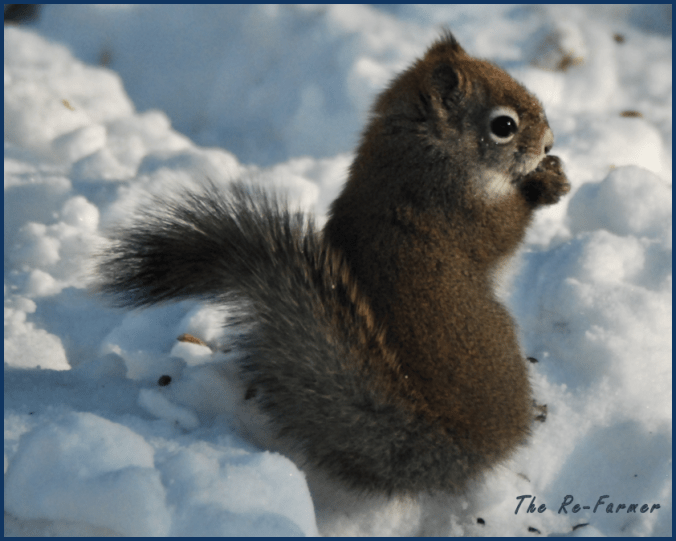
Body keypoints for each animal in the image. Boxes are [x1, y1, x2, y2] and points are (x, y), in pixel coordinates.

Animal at [95, 31, 569, 496]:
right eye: (503, 125)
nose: (549, 142)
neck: (417, 147)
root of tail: (447, 436)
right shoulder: (458, 211)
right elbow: (506, 229)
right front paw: (544, 183)